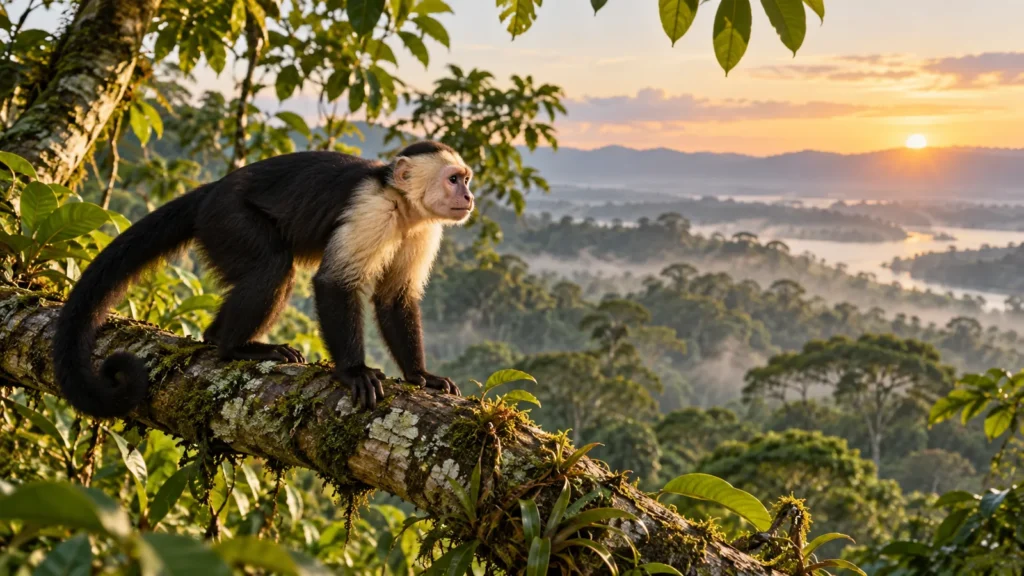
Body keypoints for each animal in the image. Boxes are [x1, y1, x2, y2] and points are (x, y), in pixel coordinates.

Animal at [52, 141, 474, 418]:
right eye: (454, 179)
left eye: (466, 179)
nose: (469, 197)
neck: (402, 204)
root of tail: (214, 189)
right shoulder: (373, 210)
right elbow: (334, 283)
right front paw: (353, 372)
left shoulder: (423, 230)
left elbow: (394, 298)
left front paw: (421, 376)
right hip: (227, 219)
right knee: (273, 266)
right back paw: (235, 347)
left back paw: (216, 337)